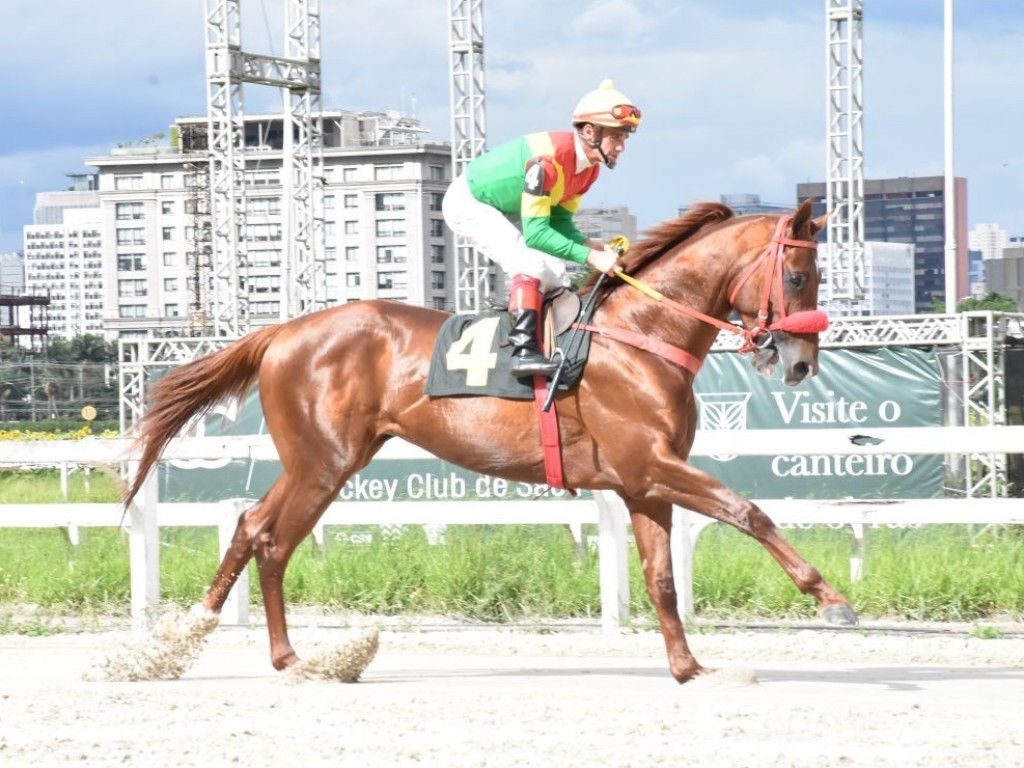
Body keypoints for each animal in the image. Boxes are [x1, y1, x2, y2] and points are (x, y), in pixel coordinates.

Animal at [121, 198, 856, 684]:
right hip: (323, 460)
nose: (800, 364)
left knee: (257, 529)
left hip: (326, 461)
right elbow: (748, 511)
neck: (639, 334)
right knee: (270, 536)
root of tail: (280, 332)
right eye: (798, 276)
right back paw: (212, 644)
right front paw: (832, 600)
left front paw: (686, 666)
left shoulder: (643, 481)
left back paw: (263, 652)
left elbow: (663, 577)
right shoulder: (651, 464)